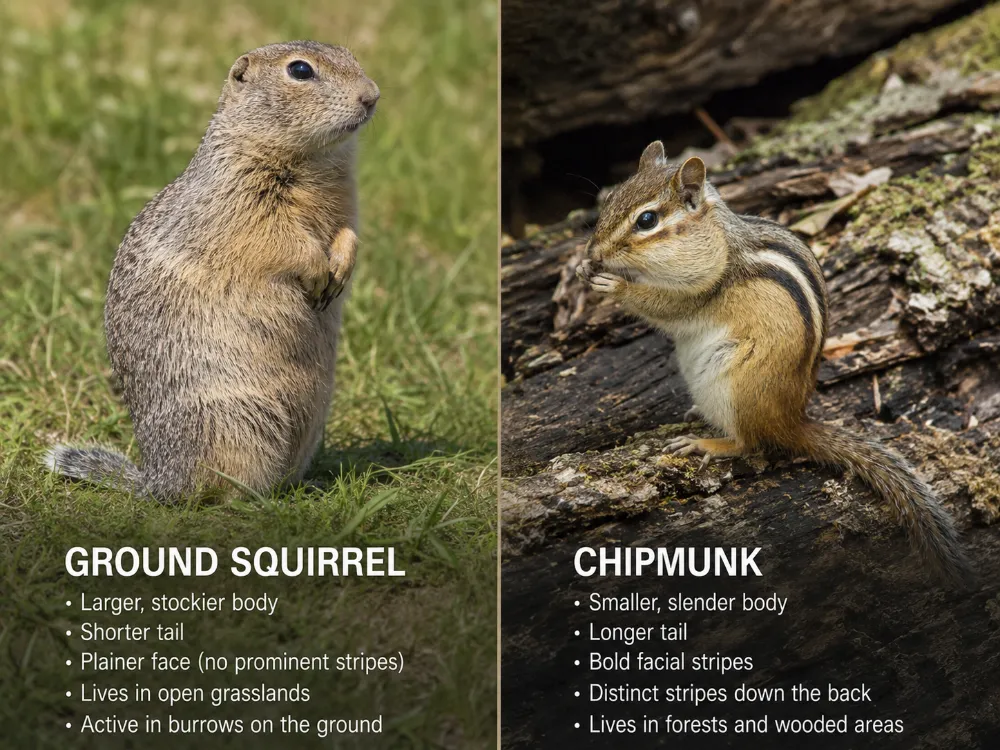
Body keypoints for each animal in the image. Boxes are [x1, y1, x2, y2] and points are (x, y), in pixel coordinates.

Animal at [44, 41, 380, 501]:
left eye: (351, 55)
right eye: (299, 71)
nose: (372, 96)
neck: (315, 159)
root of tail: (158, 479)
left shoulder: (346, 198)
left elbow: (348, 231)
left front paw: (342, 266)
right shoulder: (240, 198)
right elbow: (278, 239)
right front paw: (315, 269)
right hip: (237, 424)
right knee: (218, 488)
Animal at [577, 140, 975, 587]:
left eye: (646, 220)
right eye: (610, 198)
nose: (594, 252)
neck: (714, 236)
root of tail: (790, 420)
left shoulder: (702, 283)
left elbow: (664, 305)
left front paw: (613, 284)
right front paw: (582, 267)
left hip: (732, 382)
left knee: (748, 443)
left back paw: (706, 442)